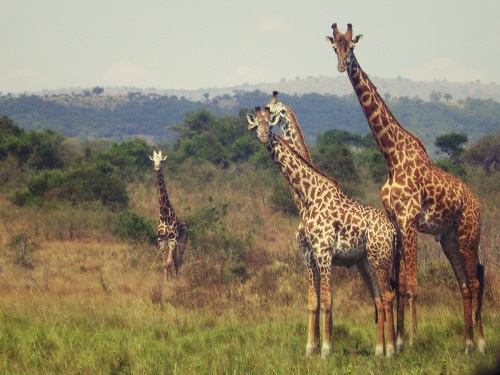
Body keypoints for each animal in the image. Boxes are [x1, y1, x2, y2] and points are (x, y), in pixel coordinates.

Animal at [149, 150, 188, 282]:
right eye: (153, 159)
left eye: (161, 160)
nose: (157, 167)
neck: (164, 214)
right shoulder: (162, 240)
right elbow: (165, 263)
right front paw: (166, 281)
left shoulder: (172, 239)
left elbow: (170, 262)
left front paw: (171, 282)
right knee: (175, 261)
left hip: (182, 243)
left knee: (179, 261)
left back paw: (178, 279)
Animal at [246, 107, 398, 360]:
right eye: (256, 125)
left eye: (270, 123)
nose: (265, 137)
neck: (308, 197)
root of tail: (393, 231)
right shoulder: (308, 257)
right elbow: (312, 302)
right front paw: (310, 348)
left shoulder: (324, 253)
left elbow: (327, 300)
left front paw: (326, 350)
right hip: (366, 262)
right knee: (378, 298)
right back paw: (379, 350)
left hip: (381, 259)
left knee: (388, 296)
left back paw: (392, 350)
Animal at [326, 23, 486, 356]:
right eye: (335, 47)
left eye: (352, 47)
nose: (342, 65)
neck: (392, 155)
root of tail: (476, 201)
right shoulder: (396, 222)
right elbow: (398, 284)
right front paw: (397, 342)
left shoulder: (409, 219)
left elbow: (411, 284)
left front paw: (411, 341)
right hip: (448, 238)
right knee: (464, 283)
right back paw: (466, 343)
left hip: (469, 233)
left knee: (476, 280)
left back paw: (480, 342)